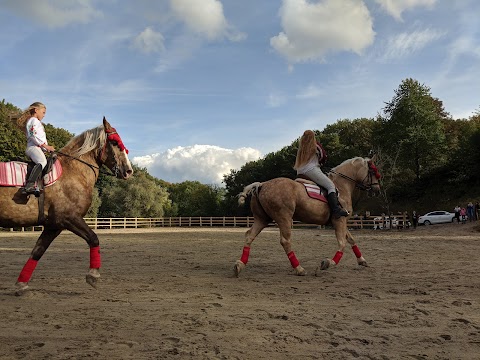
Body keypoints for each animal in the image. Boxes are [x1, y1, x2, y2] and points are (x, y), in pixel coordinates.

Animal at [0, 116, 133, 294]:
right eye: (114, 142)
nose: (129, 171)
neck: (73, 172)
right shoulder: (70, 219)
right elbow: (94, 238)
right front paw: (93, 275)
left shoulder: (53, 226)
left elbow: (37, 252)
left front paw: (21, 284)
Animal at [234, 156, 380, 278]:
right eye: (373, 172)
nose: (377, 190)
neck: (341, 186)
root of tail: (262, 184)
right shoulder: (339, 221)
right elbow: (342, 244)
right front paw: (327, 263)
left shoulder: (341, 222)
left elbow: (351, 240)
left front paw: (362, 260)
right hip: (284, 218)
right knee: (285, 241)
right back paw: (299, 268)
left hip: (262, 219)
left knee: (249, 236)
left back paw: (239, 265)